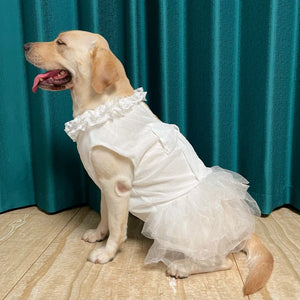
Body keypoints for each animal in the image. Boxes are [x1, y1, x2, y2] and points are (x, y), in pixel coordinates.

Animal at [24, 31, 274, 296]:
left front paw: (107, 253)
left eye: (60, 43)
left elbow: (117, 228)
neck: (103, 107)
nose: (25, 45)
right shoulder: (104, 186)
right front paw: (98, 235)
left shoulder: (117, 187)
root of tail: (245, 231)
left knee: (221, 260)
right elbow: (104, 216)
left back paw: (182, 266)